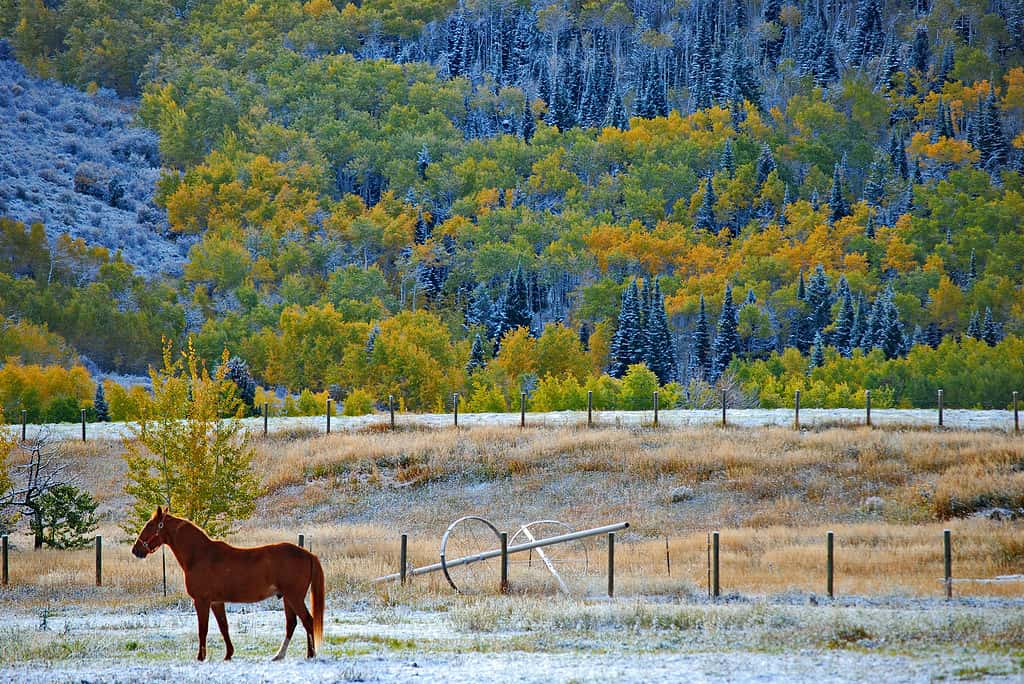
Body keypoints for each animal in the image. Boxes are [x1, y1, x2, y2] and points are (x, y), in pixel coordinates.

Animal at [132, 505, 323, 659]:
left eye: (150, 525)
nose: (136, 550)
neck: (200, 555)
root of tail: (308, 554)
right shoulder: (216, 602)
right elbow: (224, 627)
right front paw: (228, 654)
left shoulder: (202, 601)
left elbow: (203, 630)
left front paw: (200, 658)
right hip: (287, 598)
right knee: (292, 624)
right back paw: (279, 656)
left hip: (294, 597)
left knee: (307, 620)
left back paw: (310, 654)